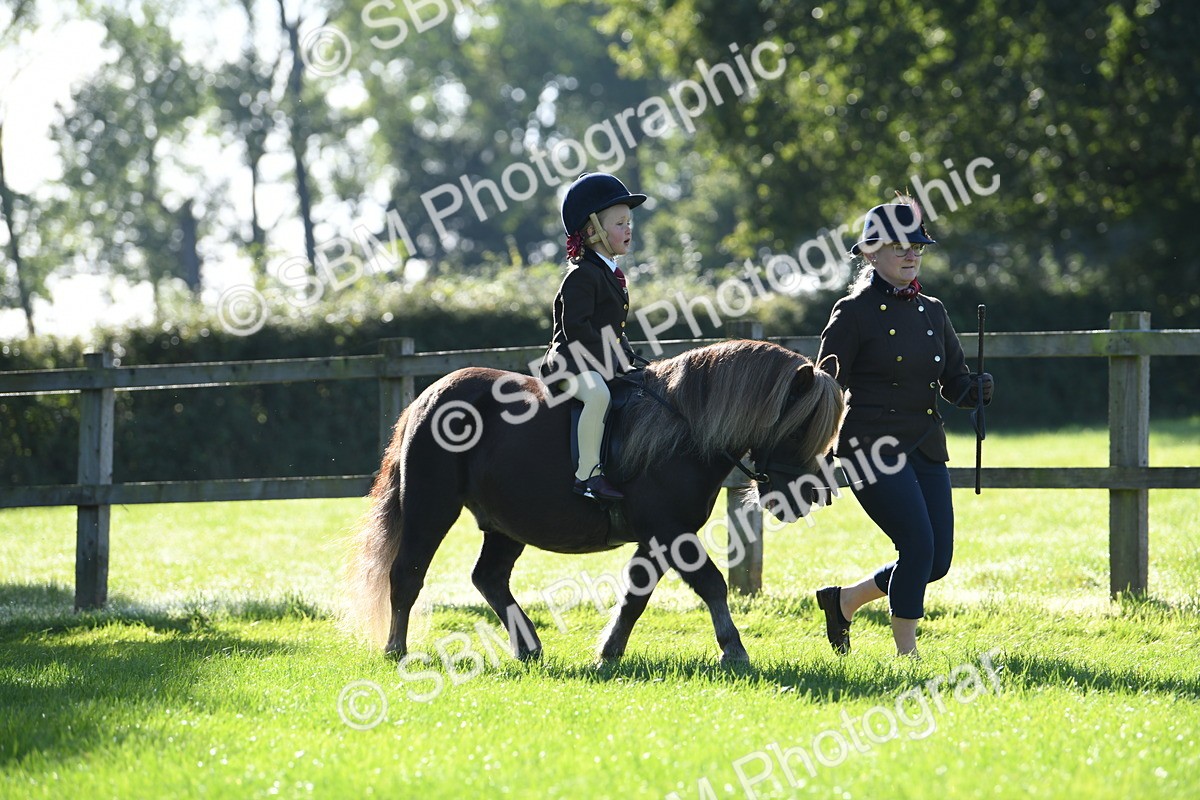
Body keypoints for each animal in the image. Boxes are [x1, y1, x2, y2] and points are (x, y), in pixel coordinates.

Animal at [343, 339, 846, 665]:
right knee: (407, 574)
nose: (811, 495)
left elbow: (636, 596)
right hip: (431, 508)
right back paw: (396, 650)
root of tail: (427, 397)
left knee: (488, 578)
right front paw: (735, 650)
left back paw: (528, 646)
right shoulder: (672, 533)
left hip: (505, 523)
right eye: (801, 426)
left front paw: (609, 652)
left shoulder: (658, 538)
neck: (684, 429)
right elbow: (711, 584)